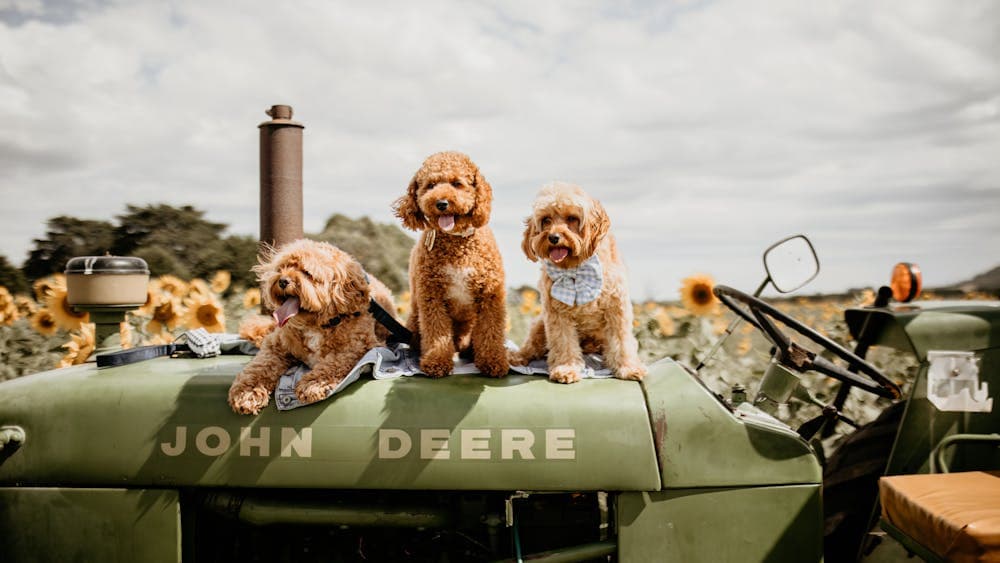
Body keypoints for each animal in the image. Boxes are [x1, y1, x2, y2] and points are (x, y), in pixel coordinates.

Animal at [229, 238, 396, 414]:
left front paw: (313, 384)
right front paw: (247, 392)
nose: (282, 281)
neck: (316, 325)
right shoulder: (276, 346)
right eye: (283, 268)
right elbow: (261, 366)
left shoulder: (360, 347)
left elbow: (335, 363)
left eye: (307, 273)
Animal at [392, 151, 512, 378]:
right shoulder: (432, 296)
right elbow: (437, 332)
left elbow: (490, 330)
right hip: (415, 320)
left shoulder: (490, 295)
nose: (441, 203)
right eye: (430, 185)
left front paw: (493, 361)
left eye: (457, 183)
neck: (456, 240)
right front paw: (436, 362)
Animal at [512, 183, 644, 386]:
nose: (553, 237)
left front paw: (628, 368)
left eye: (572, 218)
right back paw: (516, 357)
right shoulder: (557, 315)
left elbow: (622, 342)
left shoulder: (617, 309)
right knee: (530, 347)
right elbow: (563, 342)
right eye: (546, 219)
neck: (575, 267)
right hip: (539, 325)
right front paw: (566, 368)